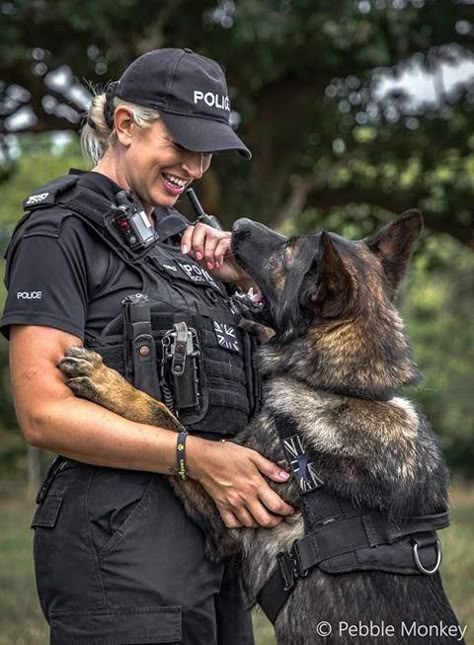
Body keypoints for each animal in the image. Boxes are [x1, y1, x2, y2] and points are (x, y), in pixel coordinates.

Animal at [58, 213, 462, 644]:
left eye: (289, 248)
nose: (237, 224)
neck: (343, 388)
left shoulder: (224, 519)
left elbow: (164, 417)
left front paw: (107, 382)